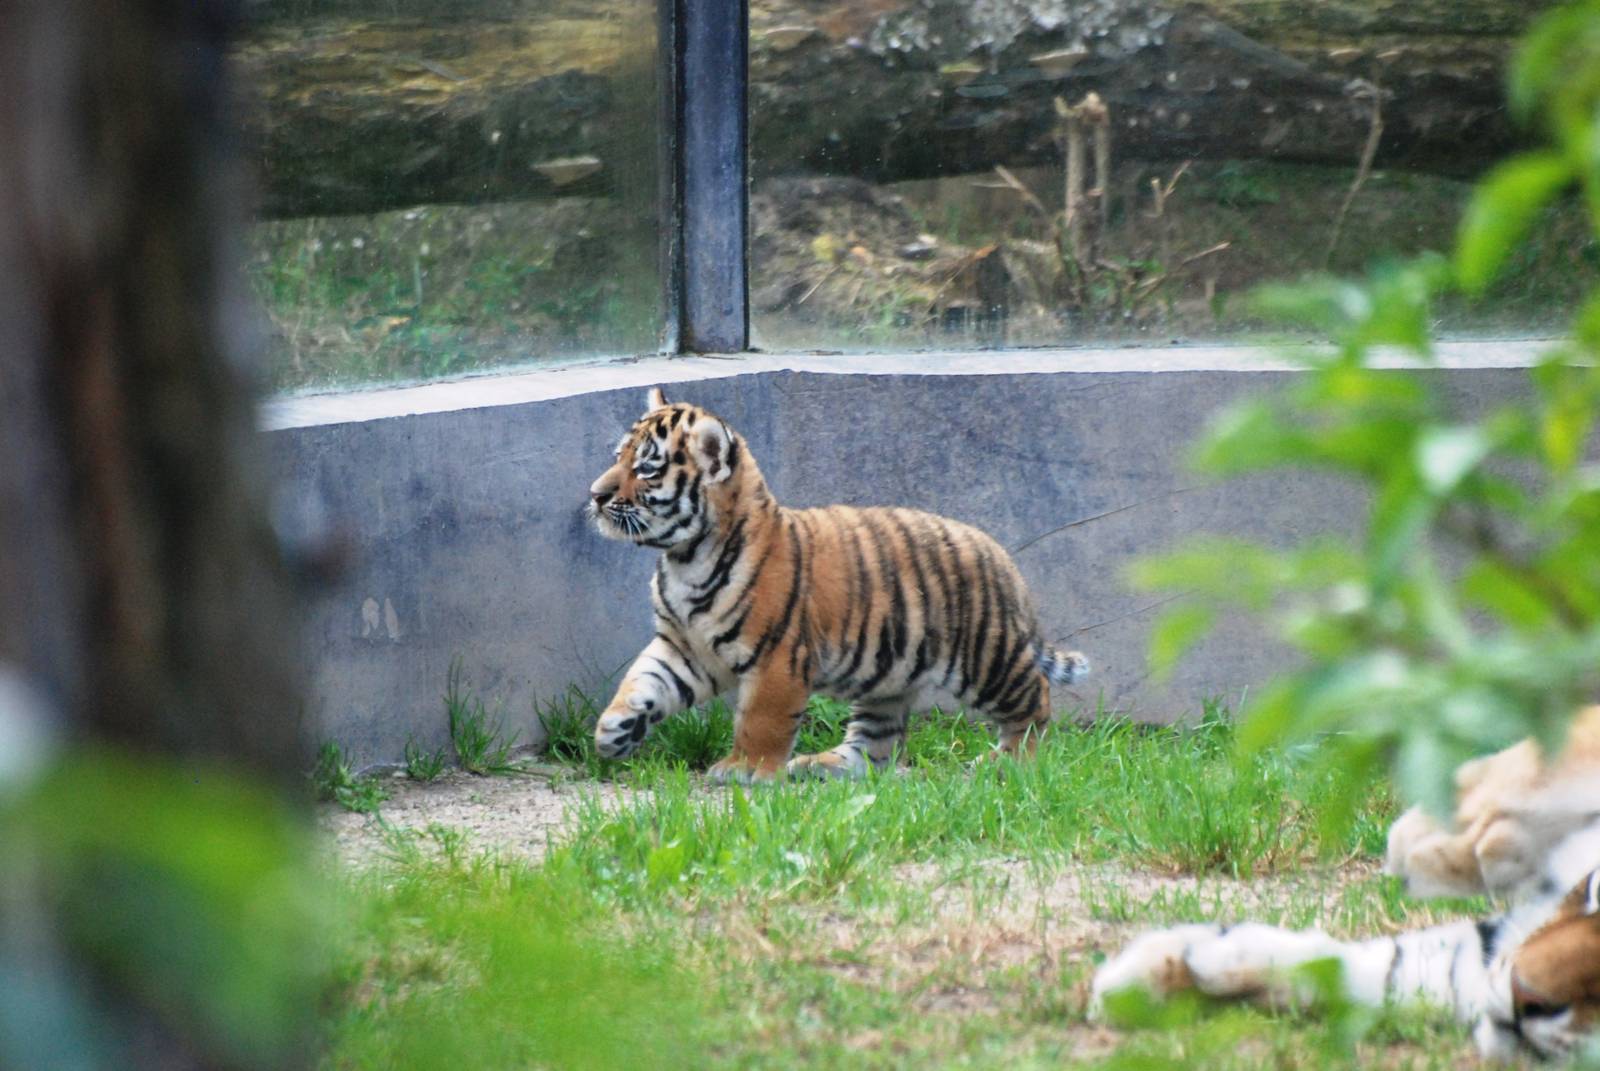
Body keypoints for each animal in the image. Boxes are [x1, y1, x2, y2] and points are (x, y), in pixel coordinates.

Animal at [584, 388, 1090, 783]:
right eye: (618, 458)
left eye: (647, 469)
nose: (596, 494)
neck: (686, 557)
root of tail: (1002, 557)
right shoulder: (686, 647)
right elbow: (643, 680)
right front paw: (613, 731)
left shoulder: (778, 657)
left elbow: (761, 719)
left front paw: (745, 769)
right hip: (890, 677)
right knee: (878, 745)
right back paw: (824, 766)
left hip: (984, 659)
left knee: (1034, 698)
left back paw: (1010, 762)